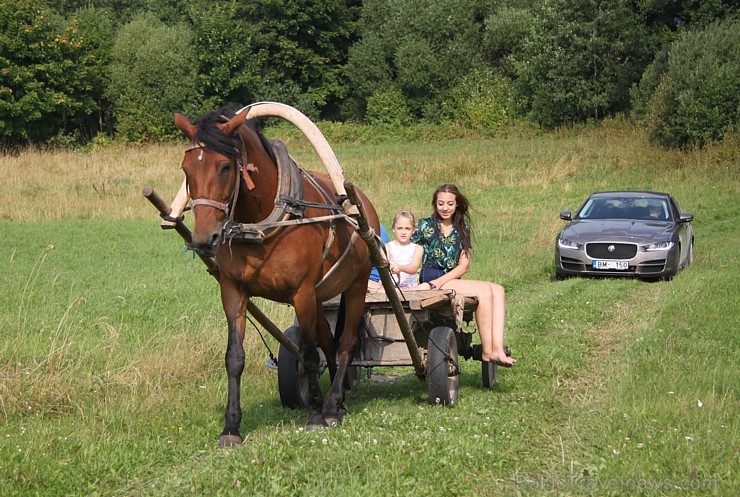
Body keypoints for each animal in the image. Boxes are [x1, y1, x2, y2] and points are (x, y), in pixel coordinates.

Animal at [175, 105, 382, 446]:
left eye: (225, 166)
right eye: (186, 169)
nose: (204, 239)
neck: (264, 222)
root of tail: (364, 204)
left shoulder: (302, 292)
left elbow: (309, 355)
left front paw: (315, 417)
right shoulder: (233, 290)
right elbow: (235, 357)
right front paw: (231, 426)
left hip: (356, 284)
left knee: (345, 344)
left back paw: (332, 405)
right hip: (321, 297)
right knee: (329, 343)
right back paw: (336, 400)